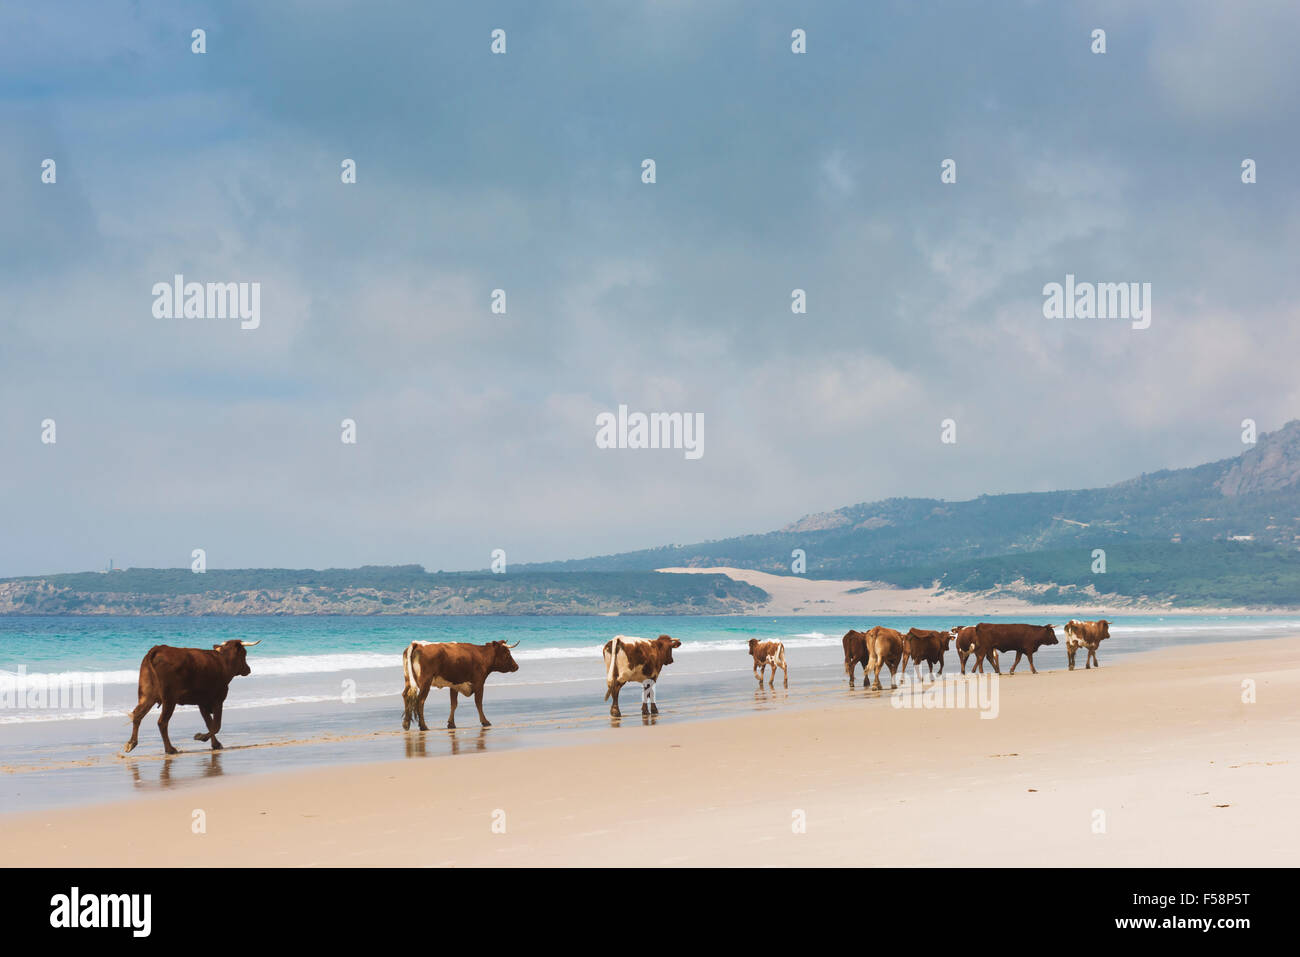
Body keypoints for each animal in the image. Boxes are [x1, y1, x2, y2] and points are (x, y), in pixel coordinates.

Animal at [122, 642, 261, 754]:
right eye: (244, 654)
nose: (248, 669)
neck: (223, 662)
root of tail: (158, 649)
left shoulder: (202, 703)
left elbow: (209, 723)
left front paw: (215, 744)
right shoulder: (217, 700)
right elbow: (216, 725)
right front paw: (201, 737)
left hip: (147, 696)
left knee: (137, 715)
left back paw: (131, 743)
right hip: (169, 699)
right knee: (162, 722)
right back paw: (170, 749)